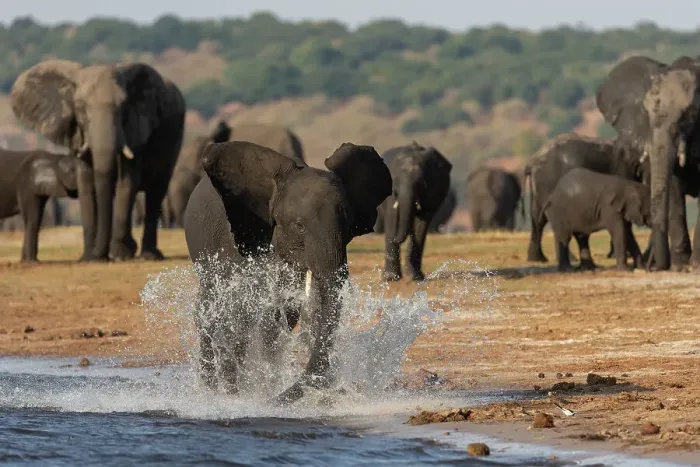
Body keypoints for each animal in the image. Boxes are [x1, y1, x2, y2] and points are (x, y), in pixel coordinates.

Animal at [10, 59, 186, 262]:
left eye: (123, 107)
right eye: (79, 108)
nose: (102, 255)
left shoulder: (135, 128)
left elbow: (127, 182)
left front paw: (119, 255)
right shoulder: (77, 134)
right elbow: (86, 182)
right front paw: (89, 258)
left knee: (155, 193)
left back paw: (147, 256)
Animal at [184, 141, 392, 404]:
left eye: (347, 226)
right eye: (299, 226)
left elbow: (282, 319)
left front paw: (263, 389)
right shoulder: (241, 239)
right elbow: (243, 312)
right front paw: (241, 395)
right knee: (209, 310)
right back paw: (214, 391)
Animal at [375, 141, 453, 282]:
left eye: (422, 184)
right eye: (395, 182)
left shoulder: (433, 191)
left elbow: (421, 223)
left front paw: (415, 277)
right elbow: (392, 217)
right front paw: (390, 278)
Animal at [524, 133, 646, 263]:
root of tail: (532, 162)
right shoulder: (623, 170)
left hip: (540, 184)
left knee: (537, 216)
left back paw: (537, 259)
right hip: (550, 182)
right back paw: (570, 259)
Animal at [596, 55, 700, 270]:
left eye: (689, 115)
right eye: (646, 114)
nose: (655, 268)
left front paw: (694, 265)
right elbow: (674, 189)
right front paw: (679, 266)